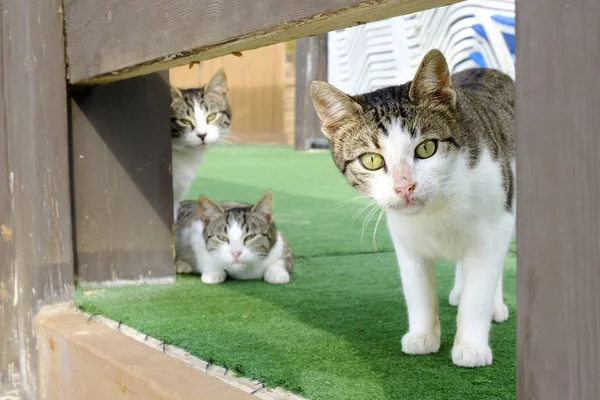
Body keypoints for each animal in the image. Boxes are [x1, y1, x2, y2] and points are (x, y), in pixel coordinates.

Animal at [310, 48, 516, 368]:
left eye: (426, 148)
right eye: (371, 160)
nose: (404, 187)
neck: (438, 206)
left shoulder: (496, 224)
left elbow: (480, 288)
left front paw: (471, 346)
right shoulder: (405, 237)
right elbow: (417, 290)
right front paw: (423, 336)